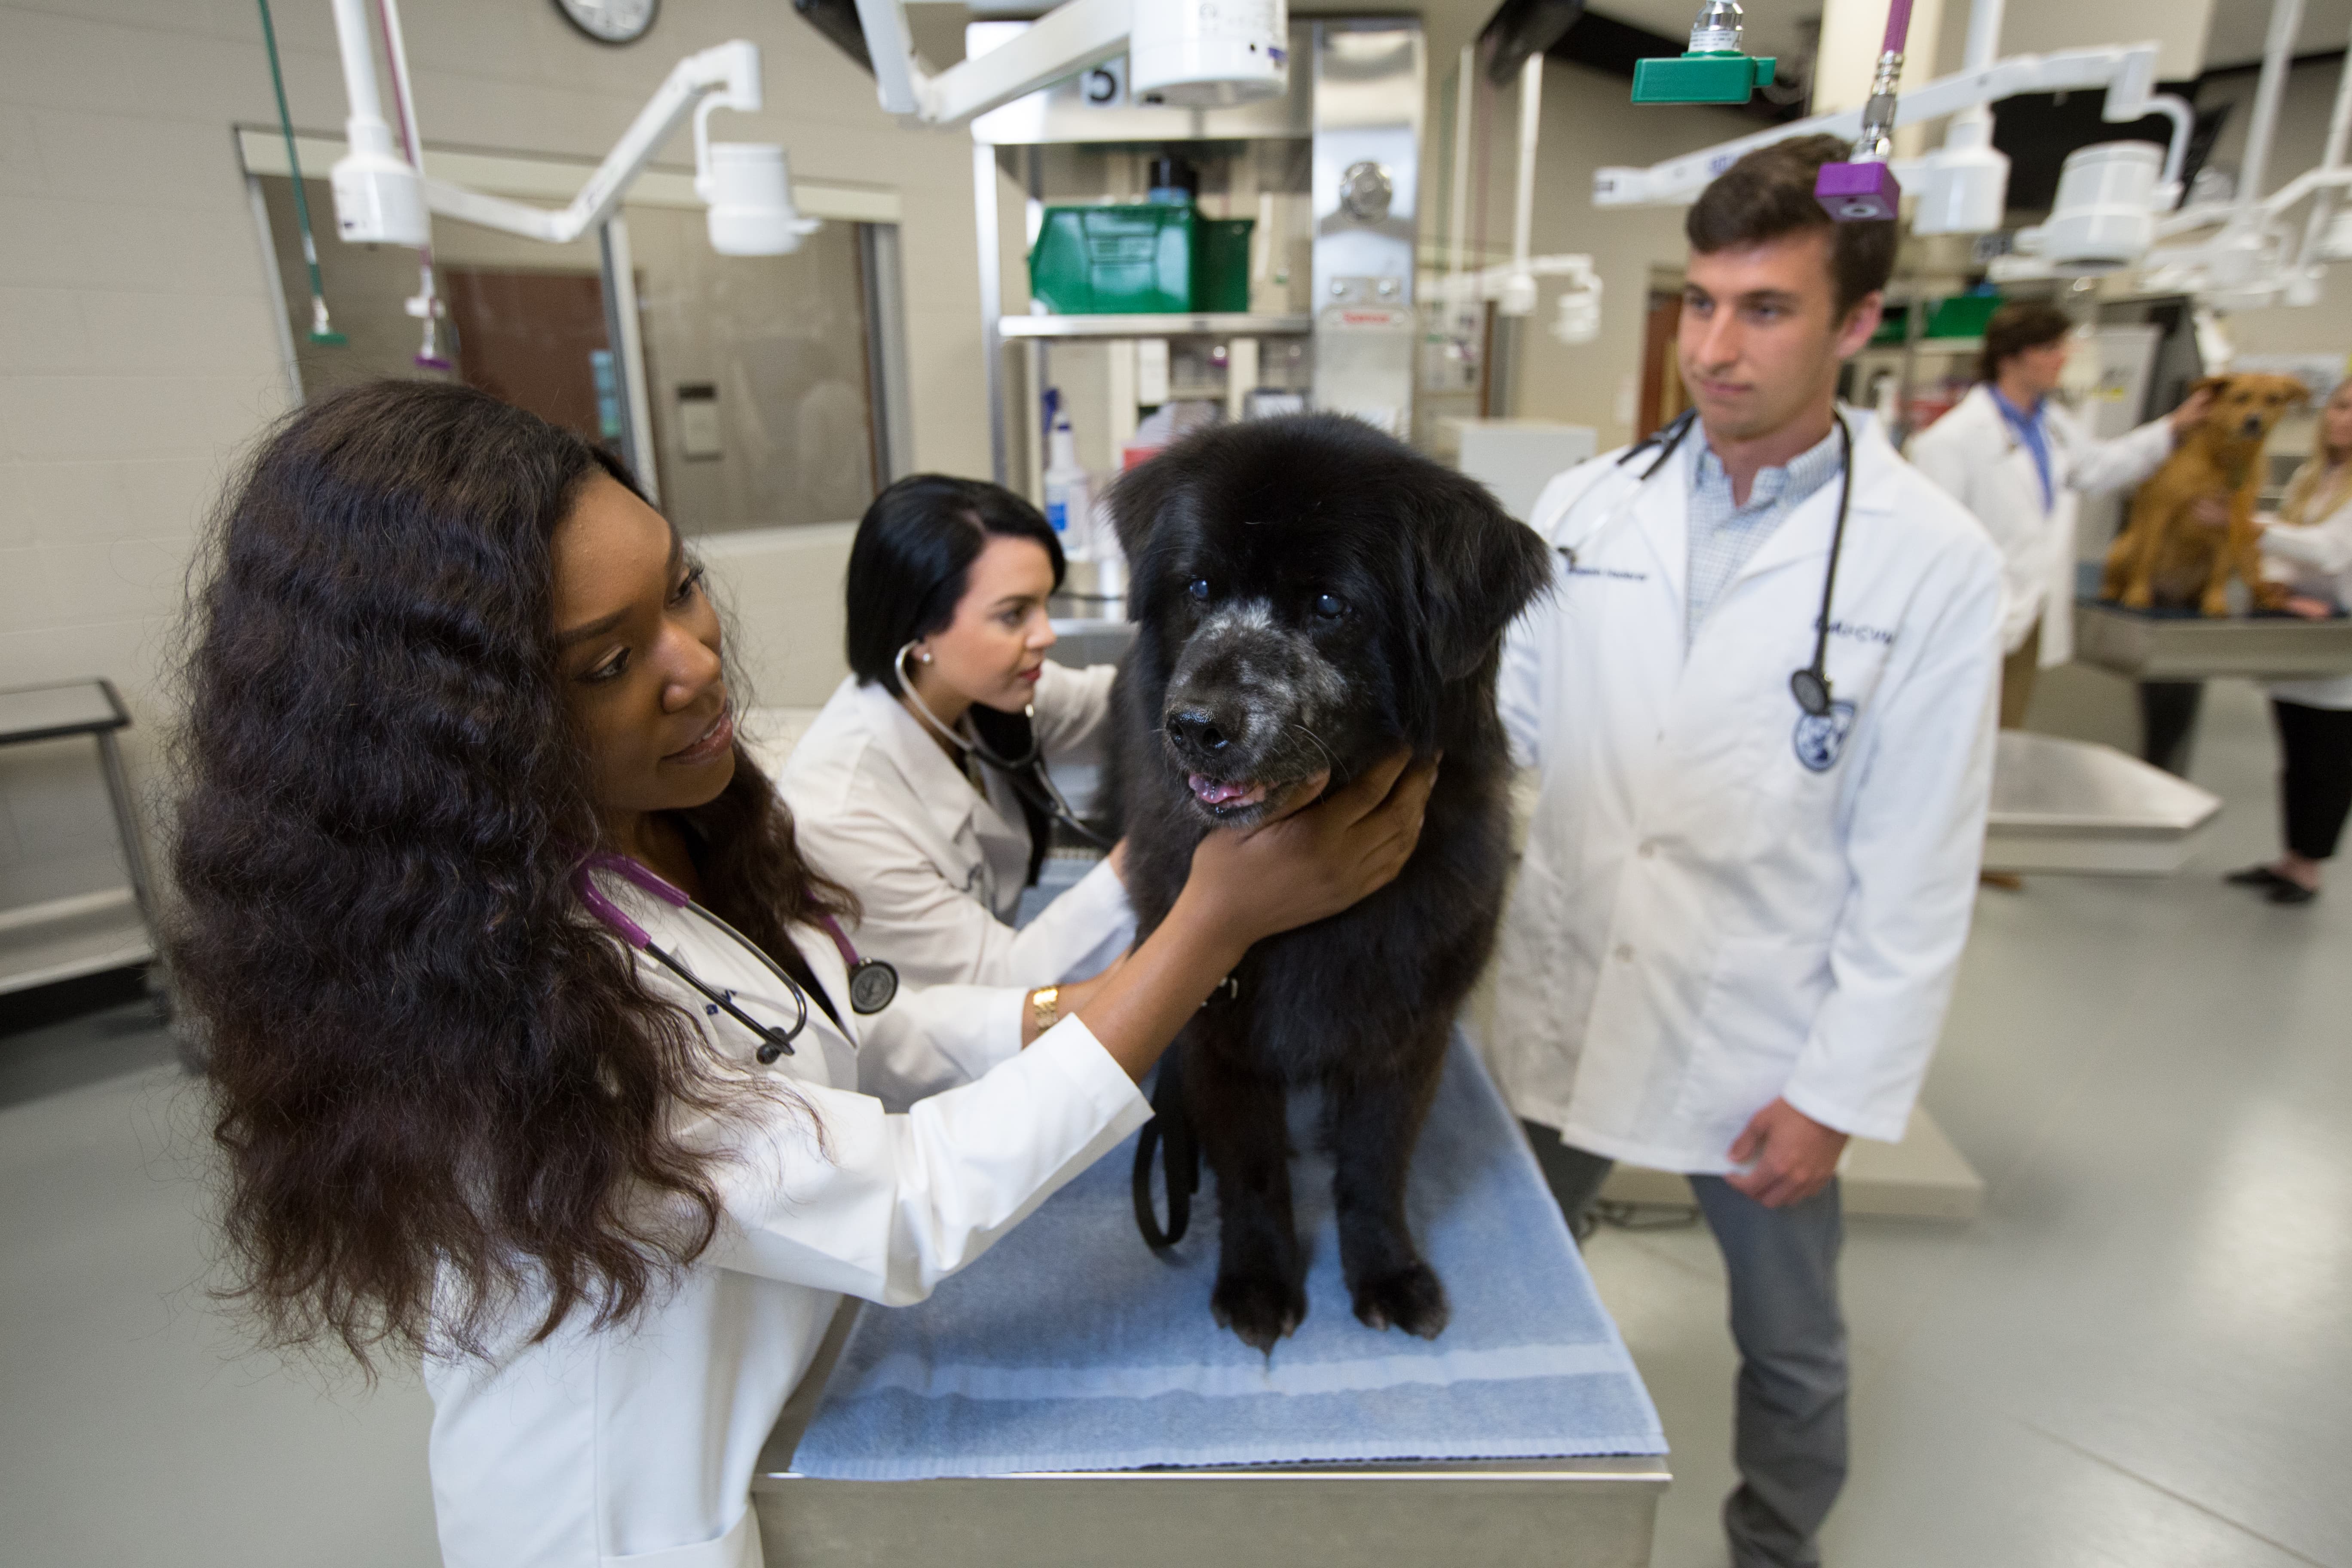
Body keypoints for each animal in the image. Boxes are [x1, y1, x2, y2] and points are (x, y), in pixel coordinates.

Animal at [1105, 413, 1552, 1354]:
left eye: (1327, 607)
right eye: (1200, 587)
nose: (1193, 726)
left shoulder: (1406, 1030)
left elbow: (1375, 1167)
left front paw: (1385, 1271)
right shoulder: (1217, 1029)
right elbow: (1251, 1170)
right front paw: (1258, 1281)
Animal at [2107, 374, 2305, 611]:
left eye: (2273, 400)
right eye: (2241, 398)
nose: (2254, 421)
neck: (2224, 459)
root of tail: (2171, 595)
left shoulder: (2230, 522)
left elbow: (2219, 571)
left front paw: (2215, 603)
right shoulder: (2161, 511)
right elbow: (2148, 556)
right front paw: (2138, 594)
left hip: (2247, 556)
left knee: (2255, 583)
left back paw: (2269, 599)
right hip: (2125, 547)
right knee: (2123, 573)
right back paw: (2116, 592)